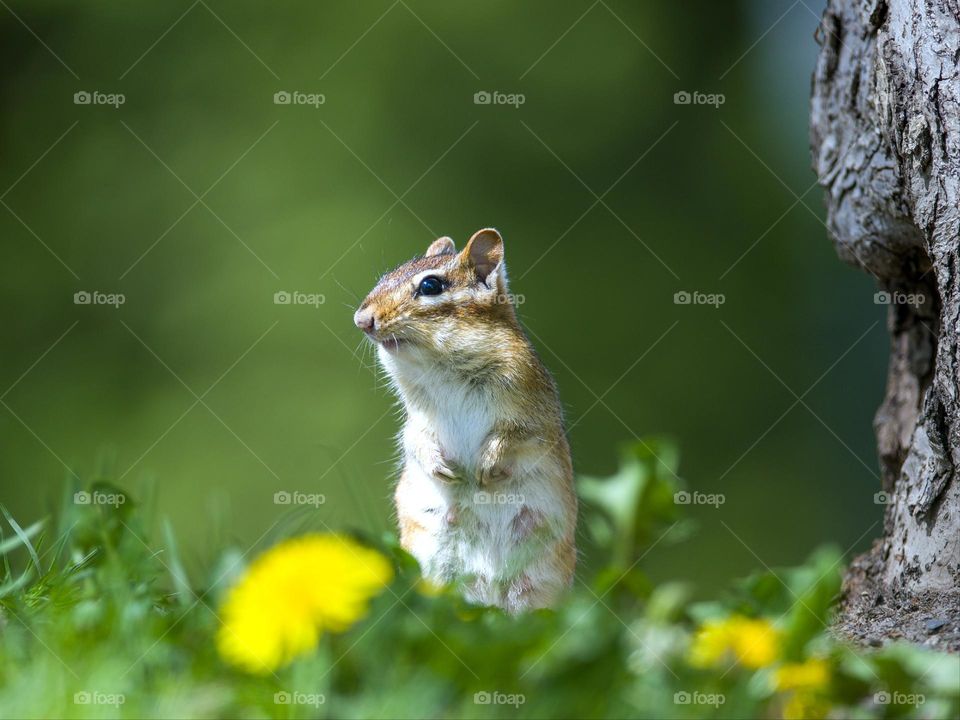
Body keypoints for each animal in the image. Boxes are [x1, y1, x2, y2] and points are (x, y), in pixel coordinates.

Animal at [353, 228, 577, 612]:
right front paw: (440, 466)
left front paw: (488, 465)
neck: (443, 368)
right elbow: (414, 440)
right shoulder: (416, 419)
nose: (361, 320)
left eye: (430, 286)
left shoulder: (532, 413)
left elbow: (515, 436)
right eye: (384, 277)